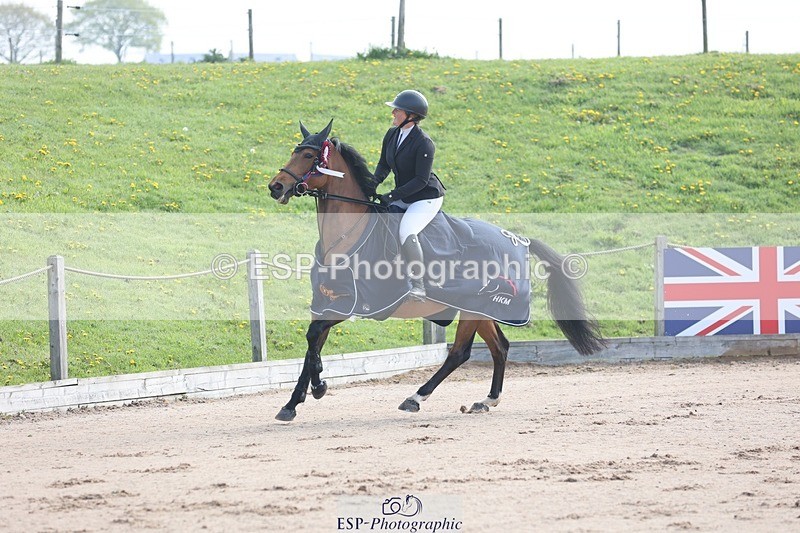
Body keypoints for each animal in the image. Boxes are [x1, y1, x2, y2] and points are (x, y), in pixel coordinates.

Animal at [267, 120, 604, 422]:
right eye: (295, 151)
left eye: (308, 156)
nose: (276, 186)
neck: (346, 234)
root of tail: (518, 239)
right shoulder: (325, 302)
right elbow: (311, 344)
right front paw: (293, 403)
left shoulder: (355, 305)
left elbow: (313, 337)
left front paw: (319, 386)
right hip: (479, 309)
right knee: (500, 346)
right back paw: (486, 401)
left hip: (474, 307)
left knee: (459, 353)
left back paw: (415, 398)